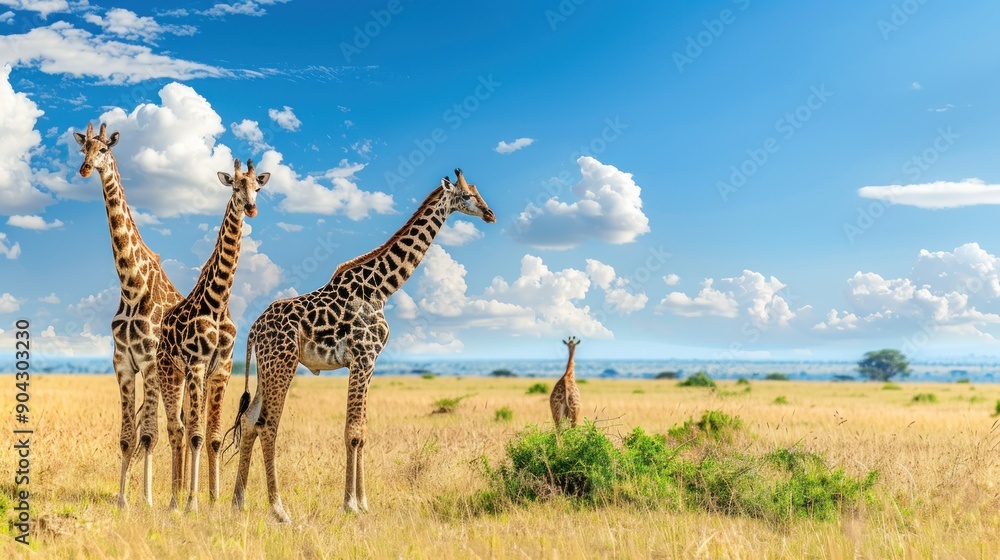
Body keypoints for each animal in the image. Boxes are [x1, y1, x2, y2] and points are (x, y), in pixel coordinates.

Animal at [74, 122, 183, 508]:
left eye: (105, 149)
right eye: (83, 149)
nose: (85, 169)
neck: (131, 285)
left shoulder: (149, 363)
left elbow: (149, 434)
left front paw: (147, 501)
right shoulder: (122, 363)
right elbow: (127, 436)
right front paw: (123, 499)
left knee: (178, 428)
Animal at [158, 158, 269, 512]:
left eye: (257, 187)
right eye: (234, 185)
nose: (251, 208)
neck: (219, 301)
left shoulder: (221, 368)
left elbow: (214, 436)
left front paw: (214, 500)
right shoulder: (195, 364)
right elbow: (194, 433)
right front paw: (193, 504)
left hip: (195, 378)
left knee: (186, 426)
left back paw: (180, 493)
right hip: (170, 372)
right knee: (176, 428)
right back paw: (174, 500)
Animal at [226, 169, 494, 523]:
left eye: (477, 193)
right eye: (466, 196)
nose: (490, 214)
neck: (381, 288)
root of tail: (254, 329)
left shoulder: (370, 362)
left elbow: (362, 432)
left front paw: (364, 503)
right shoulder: (363, 357)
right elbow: (353, 432)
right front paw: (350, 504)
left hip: (266, 368)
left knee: (248, 421)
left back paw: (238, 501)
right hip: (283, 363)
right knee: (267, 425)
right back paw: (279, 510)